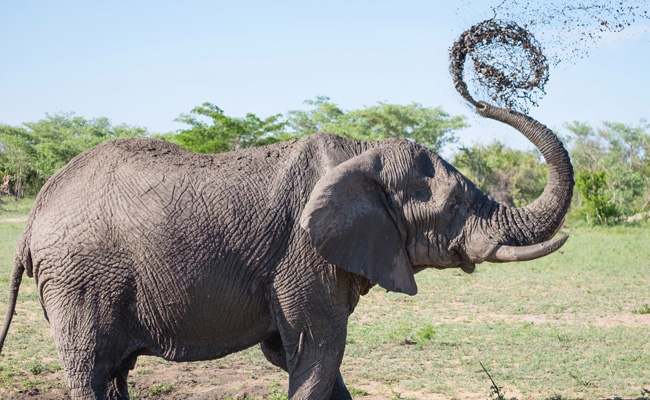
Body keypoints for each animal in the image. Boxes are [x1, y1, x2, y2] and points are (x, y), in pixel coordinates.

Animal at [0, 101, 573, 400]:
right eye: (453, 203)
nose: (476, 89)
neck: (361, 155)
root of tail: (36, 212)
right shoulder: (303, 255)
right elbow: (317, 351)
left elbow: (304, 358)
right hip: (81, 279)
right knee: (91, 369)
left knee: (114, 373)